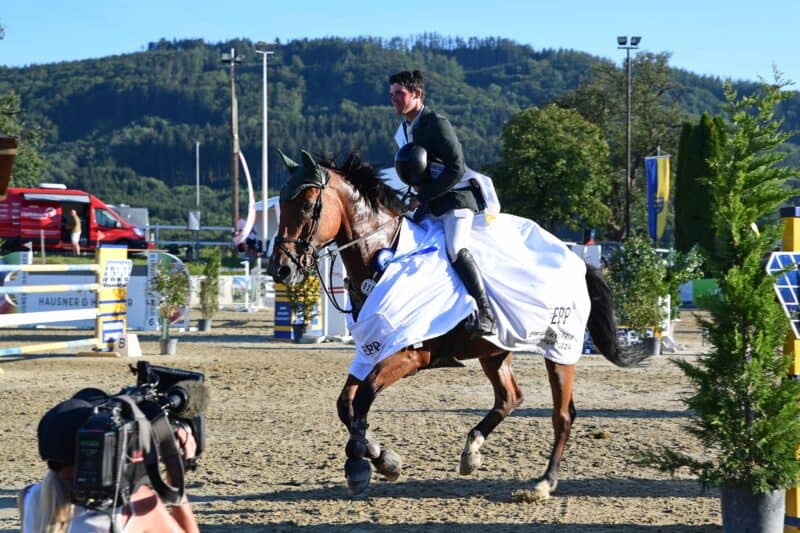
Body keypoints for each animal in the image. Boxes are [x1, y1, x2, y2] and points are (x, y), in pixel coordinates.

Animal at [266, 151, 652, 498]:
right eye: (281, 206)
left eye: (307, 206)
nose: (281, 269)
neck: (383, 256)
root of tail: (577, 261)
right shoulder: (371, 349)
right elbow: (346, 405)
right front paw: (379, 458)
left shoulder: (410, 356)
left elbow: (361, 400)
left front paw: (363, 464)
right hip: (494, 351)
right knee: (510, 397)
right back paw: (472, 451)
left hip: (558, 348)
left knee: (562, 414)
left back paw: (544, 483)